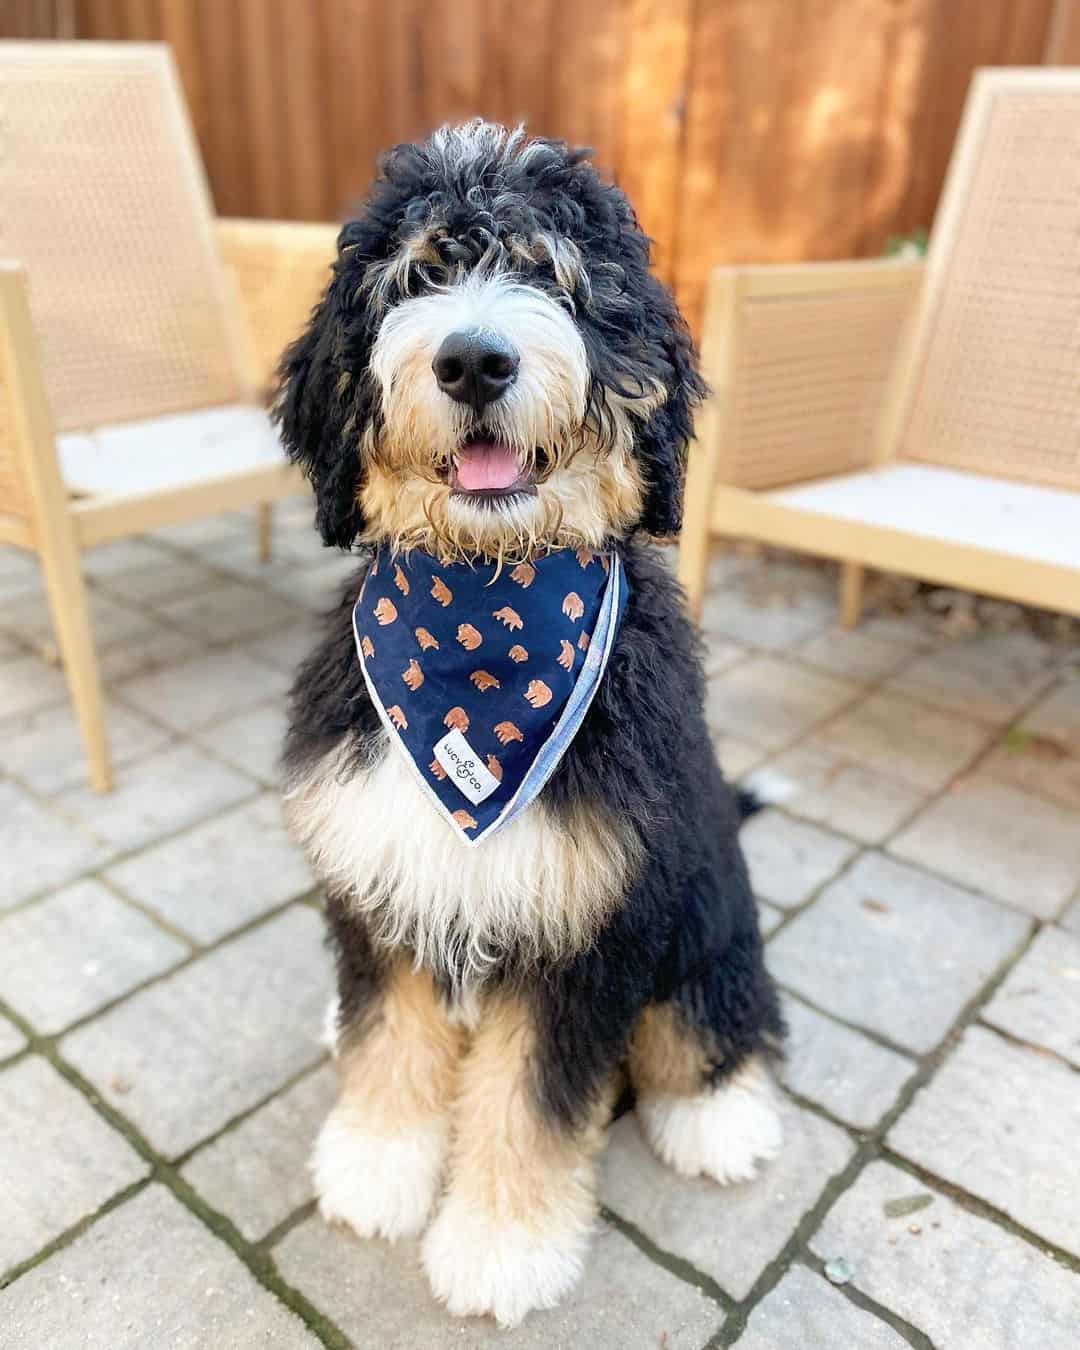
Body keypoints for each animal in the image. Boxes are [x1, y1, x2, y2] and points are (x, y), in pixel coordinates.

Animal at [276, 121, 783, 1323]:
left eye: (556, 276)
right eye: (415, 275)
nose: (473, 361)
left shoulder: (591, 927)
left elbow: (531, 1100)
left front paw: (500, 1246)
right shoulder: (384, 872)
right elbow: (391, 1031)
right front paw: (376, 1166)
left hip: (707, 906)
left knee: (718, 1017)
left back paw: (722, 1116)